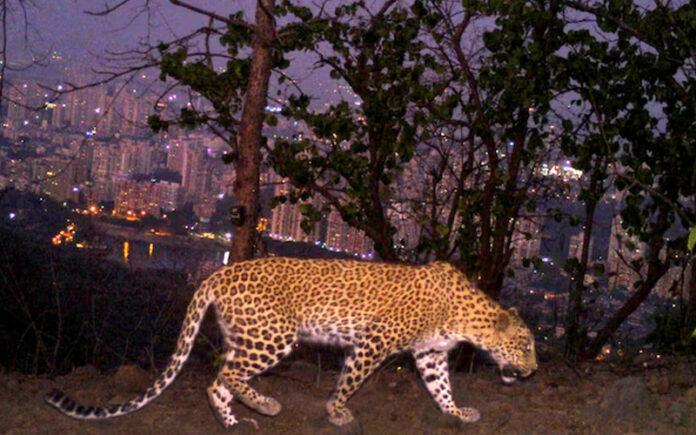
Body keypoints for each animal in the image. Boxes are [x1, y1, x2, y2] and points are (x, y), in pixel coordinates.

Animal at [46, 257, 537, 429]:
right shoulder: (373, 343)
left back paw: (236, 422)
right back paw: (265, 405)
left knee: (218, 381)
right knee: (225, 373)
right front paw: (337, 412)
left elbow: (440, 388)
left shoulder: (431, 354)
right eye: (527, 346)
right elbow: (350, 380)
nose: (533, 371)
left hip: (249, 336)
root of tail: (217, 273)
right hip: (274, 336)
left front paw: (457, 413)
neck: (466, 318)